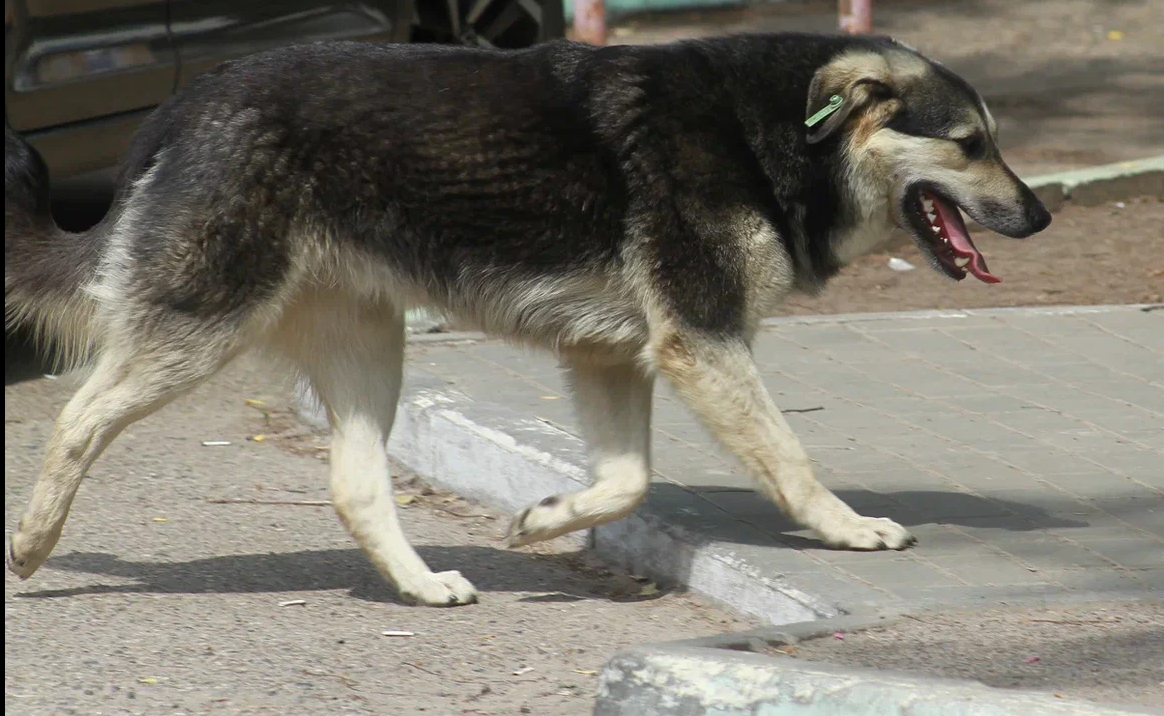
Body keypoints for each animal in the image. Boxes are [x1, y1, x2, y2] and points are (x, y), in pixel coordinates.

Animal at [4, 32, 1052, 605]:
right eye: (970, 144)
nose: (1041, 216)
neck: (779, 132)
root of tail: (185, 104)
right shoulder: (702, 343)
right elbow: (790, 462)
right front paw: (848, 528)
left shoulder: (616, 357)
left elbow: (627, 483)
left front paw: (546, 517)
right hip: (200, 328)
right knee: (75, 418)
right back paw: (33, 543)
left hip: (367, 347)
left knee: (354, 485)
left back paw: (423, 584)